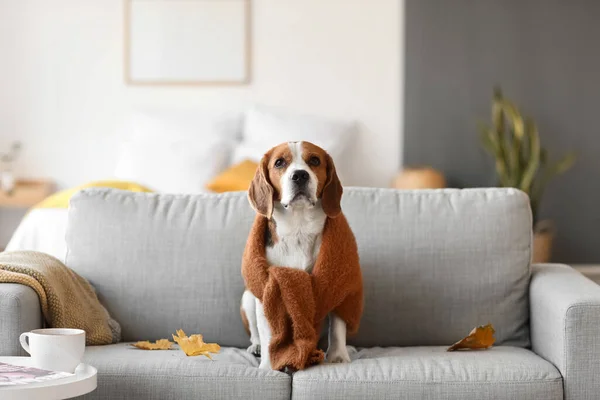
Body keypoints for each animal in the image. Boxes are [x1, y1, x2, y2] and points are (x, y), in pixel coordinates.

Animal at [240, 141, 352, 368]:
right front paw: (268, 367)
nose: (300, 175)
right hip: (247, 297)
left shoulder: (338, 284)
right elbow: (268, 335)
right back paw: (256, 346)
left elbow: (337, 328)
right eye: (279, 162)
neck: (299, 228)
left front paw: (338, 356)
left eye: (315, 160)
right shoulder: (267, 288)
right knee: (255, 333)